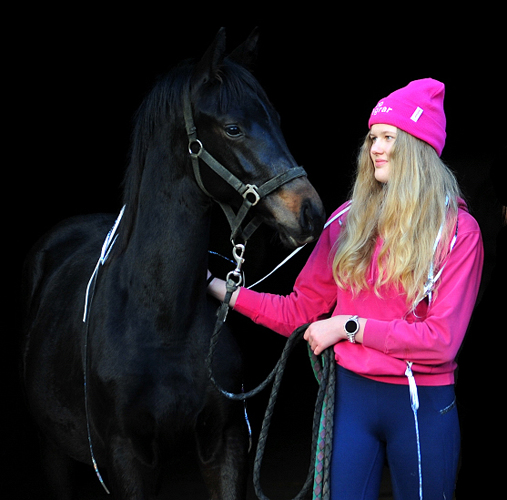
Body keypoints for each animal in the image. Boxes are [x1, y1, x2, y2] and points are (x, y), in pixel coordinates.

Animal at [21, 29, 326, 498]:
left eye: (275, 117)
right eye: (233, 128)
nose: (310, 211)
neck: (163, 322)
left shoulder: (224, 444)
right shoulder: (128, 459)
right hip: (52, 451)